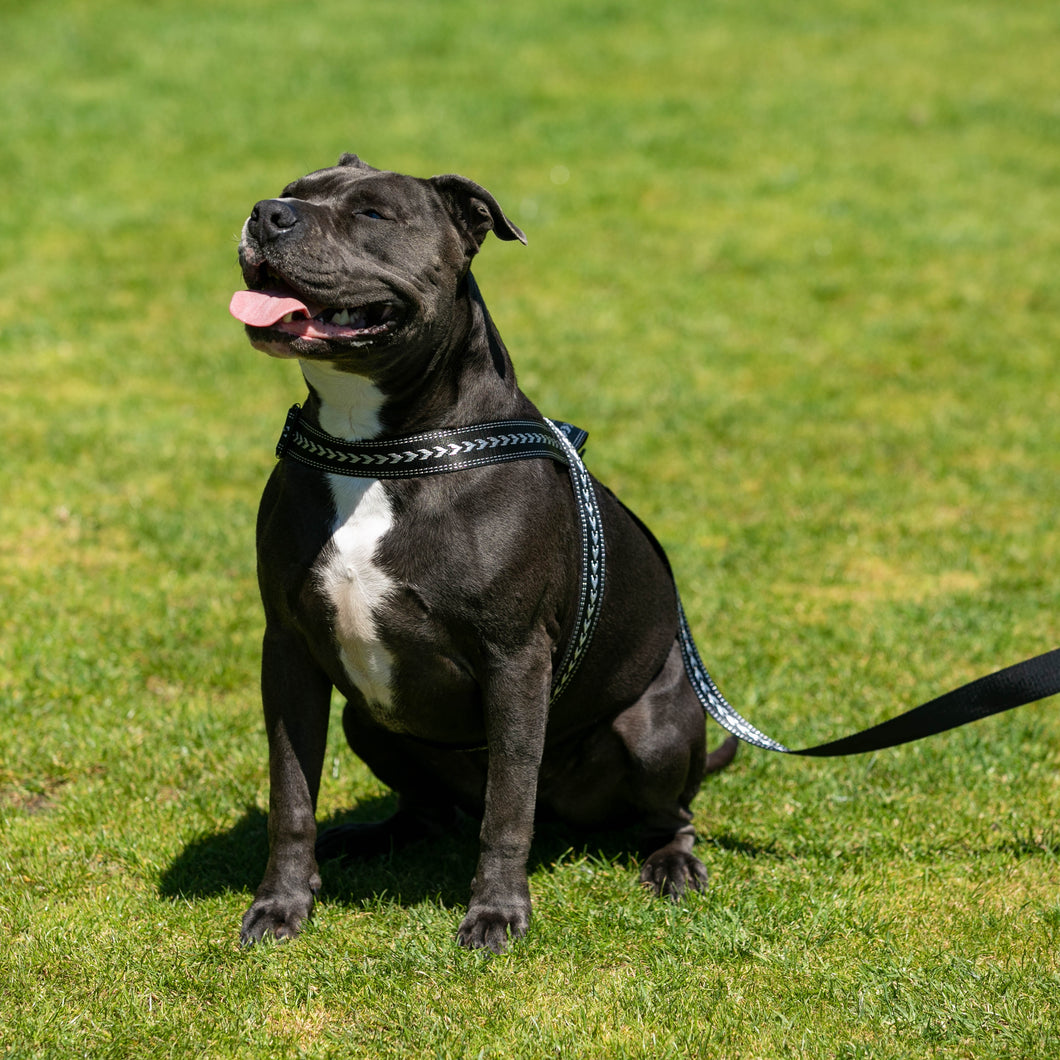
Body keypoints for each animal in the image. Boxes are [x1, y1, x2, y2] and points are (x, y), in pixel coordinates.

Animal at [230, 154, 737, 953]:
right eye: (292, 191)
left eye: (371, 214)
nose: (266, 214)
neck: (382, 446)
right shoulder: (287, 649)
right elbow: (292, 795)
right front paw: (281, 903)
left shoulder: (514, 659)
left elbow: (507, 808)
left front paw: (497, 912)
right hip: (368, 722)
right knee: (430, 808)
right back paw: (375, 837)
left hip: (655, 730)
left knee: (665, 813)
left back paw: (671, 863)